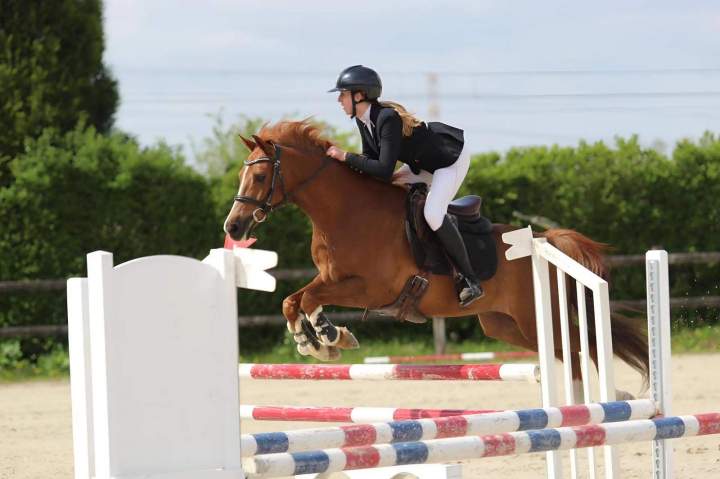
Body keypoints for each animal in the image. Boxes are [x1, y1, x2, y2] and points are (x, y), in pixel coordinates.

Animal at [223, 120, 649, 390]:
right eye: (242, 176)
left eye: (259, 177)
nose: (233, 228)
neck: (344, 212)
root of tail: (542, 240)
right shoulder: (332, 278)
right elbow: (293, 300)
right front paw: (316, 341)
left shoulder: (371, 289)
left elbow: (309, 298)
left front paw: (327, 337)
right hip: (506, 326)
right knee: (569, 348)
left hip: (534, 317)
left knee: (581, 344)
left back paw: (612, 402)